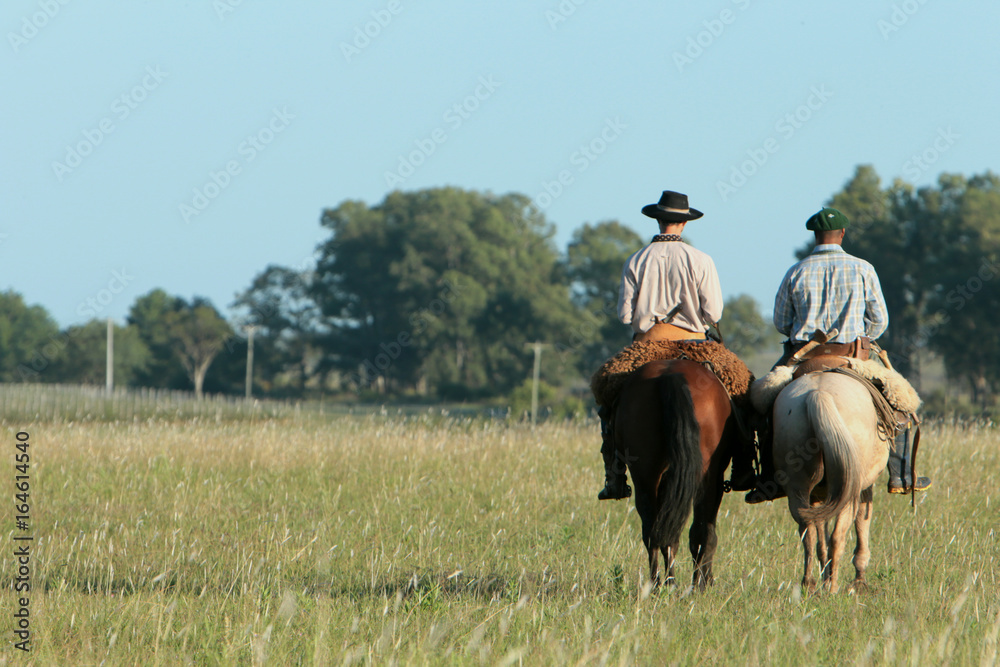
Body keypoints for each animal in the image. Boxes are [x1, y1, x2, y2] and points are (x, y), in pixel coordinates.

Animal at [612, 358, 748, 588]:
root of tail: (670, 375)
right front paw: (706, 580)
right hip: (706, 477)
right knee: (699, 531)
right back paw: (696, 585)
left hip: (645, 475)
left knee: (654, 530)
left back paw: (661, 584)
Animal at [772, 370, 892, 596]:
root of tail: (818, 394)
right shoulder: (864, 488)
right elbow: (861, 525)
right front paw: (859, 581)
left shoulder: (819, 497)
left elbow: (821, 539)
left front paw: (824, 577)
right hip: (849, 492)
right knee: (838, 536)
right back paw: (833, 588)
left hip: (798, 488)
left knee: (808, 533)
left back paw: (809, 584)